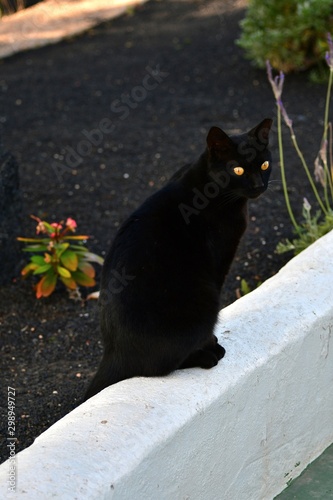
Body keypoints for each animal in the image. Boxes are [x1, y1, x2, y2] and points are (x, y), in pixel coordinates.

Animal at [83, 119, 272, 400]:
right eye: (237, 169)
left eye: (264, 165)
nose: (259, 185)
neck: (210, 188)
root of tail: (113, 352)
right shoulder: (219, 262)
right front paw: (211, 343)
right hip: (206, 300)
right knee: (158, 367)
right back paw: (206, 356)